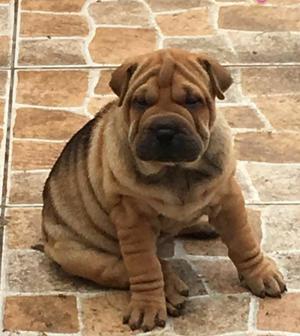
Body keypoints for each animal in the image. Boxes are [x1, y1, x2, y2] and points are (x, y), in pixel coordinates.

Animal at [42, 48, 286, 332]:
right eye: (140, 102)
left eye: (193, 101)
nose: (165, 129)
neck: (176, 171)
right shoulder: (132, 218)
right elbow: (144, 266)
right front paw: (148, 306)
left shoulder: (227, 196)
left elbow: (244, 241)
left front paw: (261, 274)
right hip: (78, 255)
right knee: (126, 267)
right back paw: (170, 288)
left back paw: (201, 226)